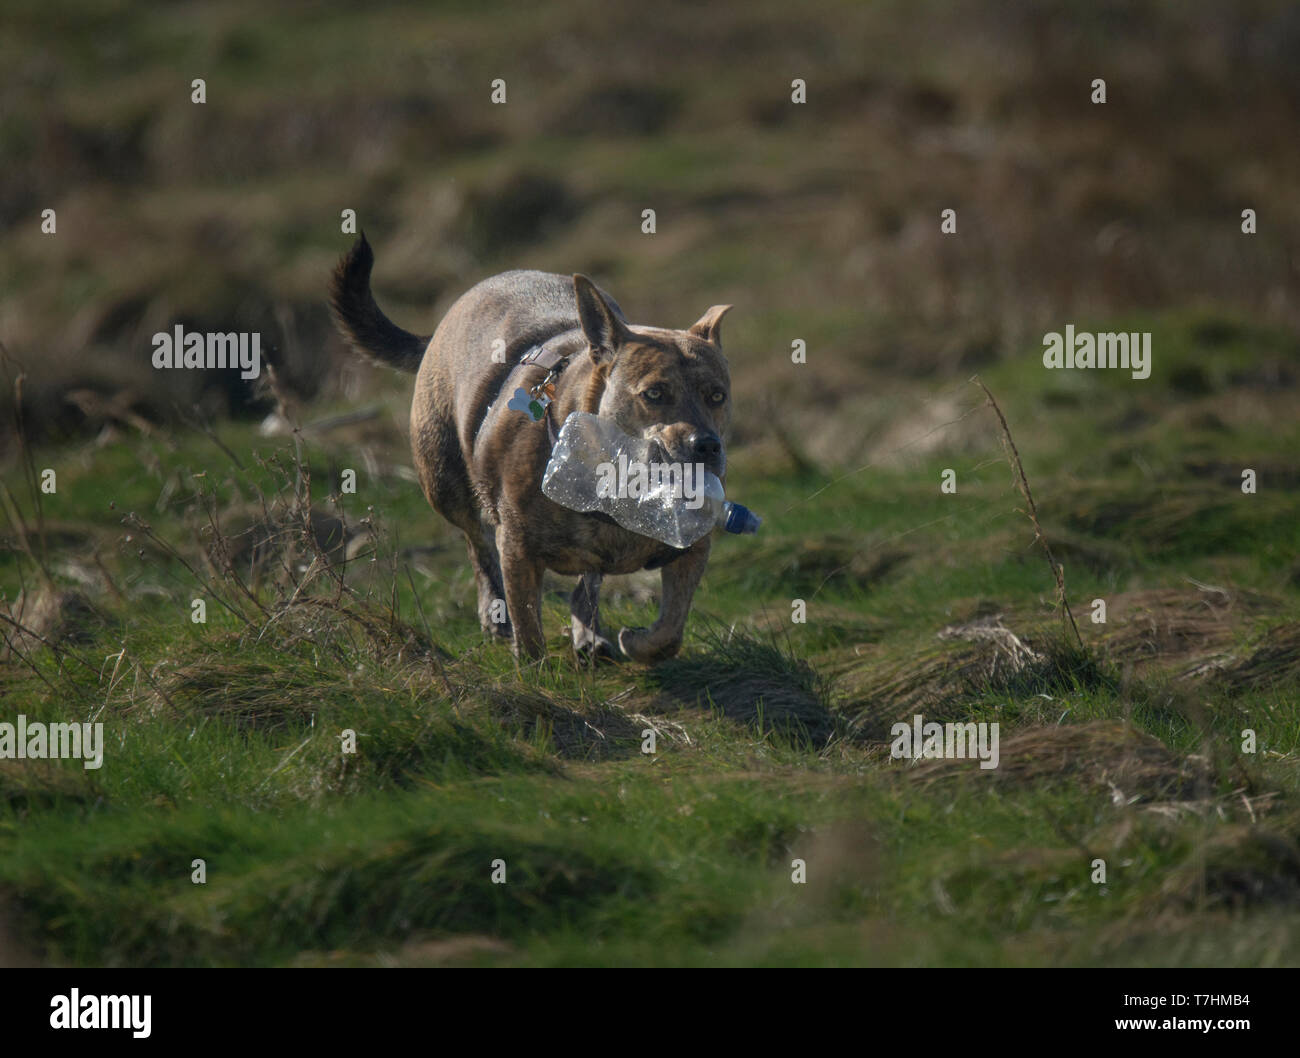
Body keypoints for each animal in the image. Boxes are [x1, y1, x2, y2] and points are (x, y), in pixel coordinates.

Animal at [327, 236, 733, 662]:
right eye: (653, 394)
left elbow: (670, 628)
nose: (706, 446)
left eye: (717, 396)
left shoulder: (694, 547)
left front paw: (638, 642)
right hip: (443, 482)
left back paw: (589, 634)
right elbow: (527, 623)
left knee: (587, 583)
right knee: (477, 547)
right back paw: (496, 616)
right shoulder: (517, 548)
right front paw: (533, 668)